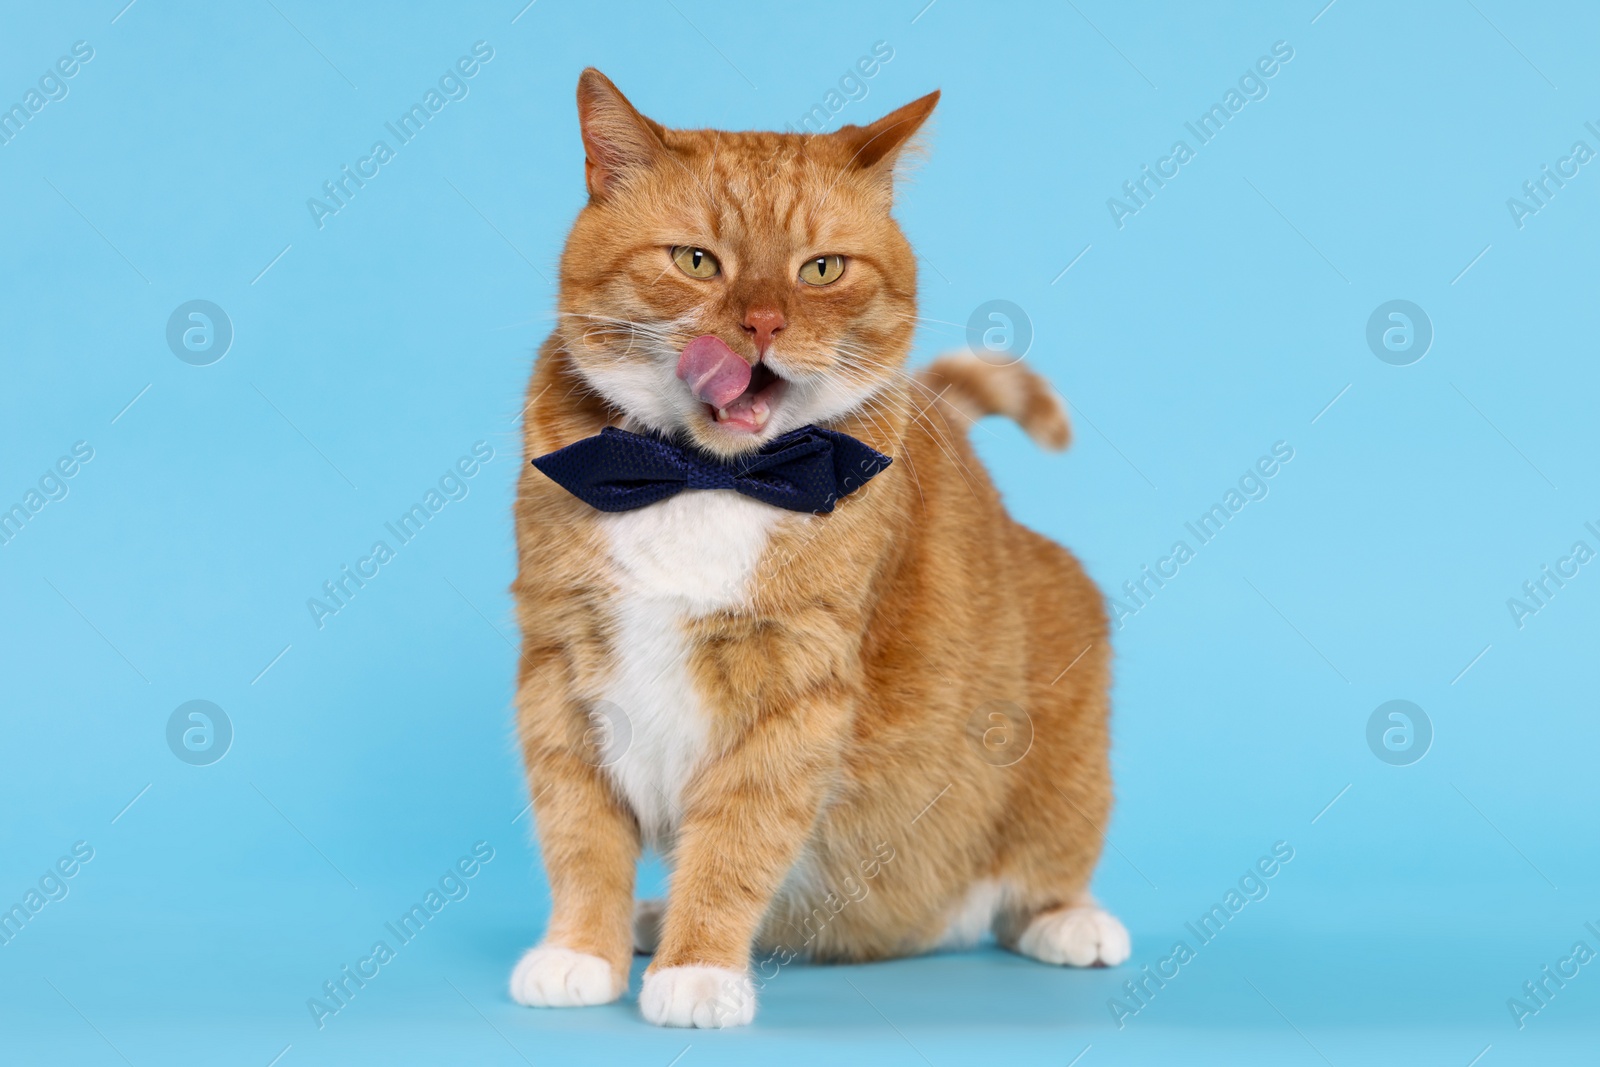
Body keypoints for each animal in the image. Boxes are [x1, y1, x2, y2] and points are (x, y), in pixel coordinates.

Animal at [512, 68, 1126, 1036]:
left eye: (822, 269)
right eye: (697, 261)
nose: (763, 324)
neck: (701, 477)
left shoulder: (794, 694)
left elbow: (735, 840)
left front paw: (697, 965)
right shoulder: (558, 669)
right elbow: (579, 831)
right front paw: (581, 950)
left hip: (1063, 725)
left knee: (1045, 865)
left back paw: (1071, 921)